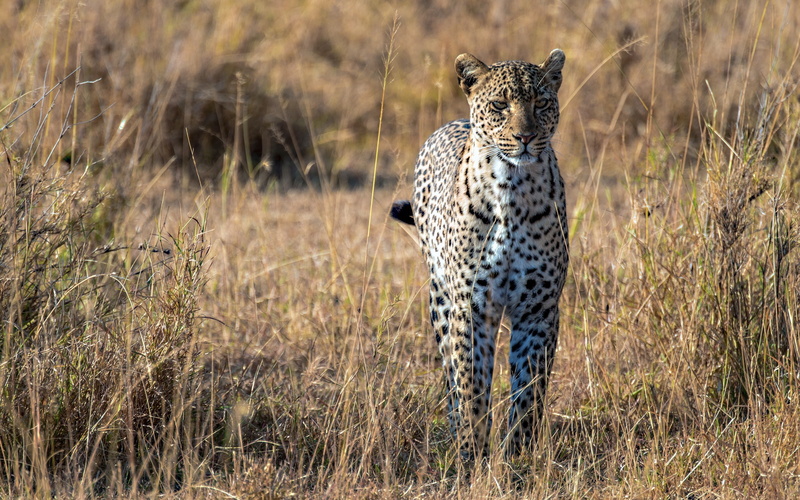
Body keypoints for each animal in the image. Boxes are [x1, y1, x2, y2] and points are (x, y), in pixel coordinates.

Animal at [391, 49, 569, 461]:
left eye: (541, 103)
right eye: (500, 105)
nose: (525, 137)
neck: (512, 189)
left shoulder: (539, 309)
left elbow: (529, 390)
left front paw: (518, 454)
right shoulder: (472, 306)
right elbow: (472, 382)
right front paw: (472, 453)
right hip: (440, 300)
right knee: (451, 375)